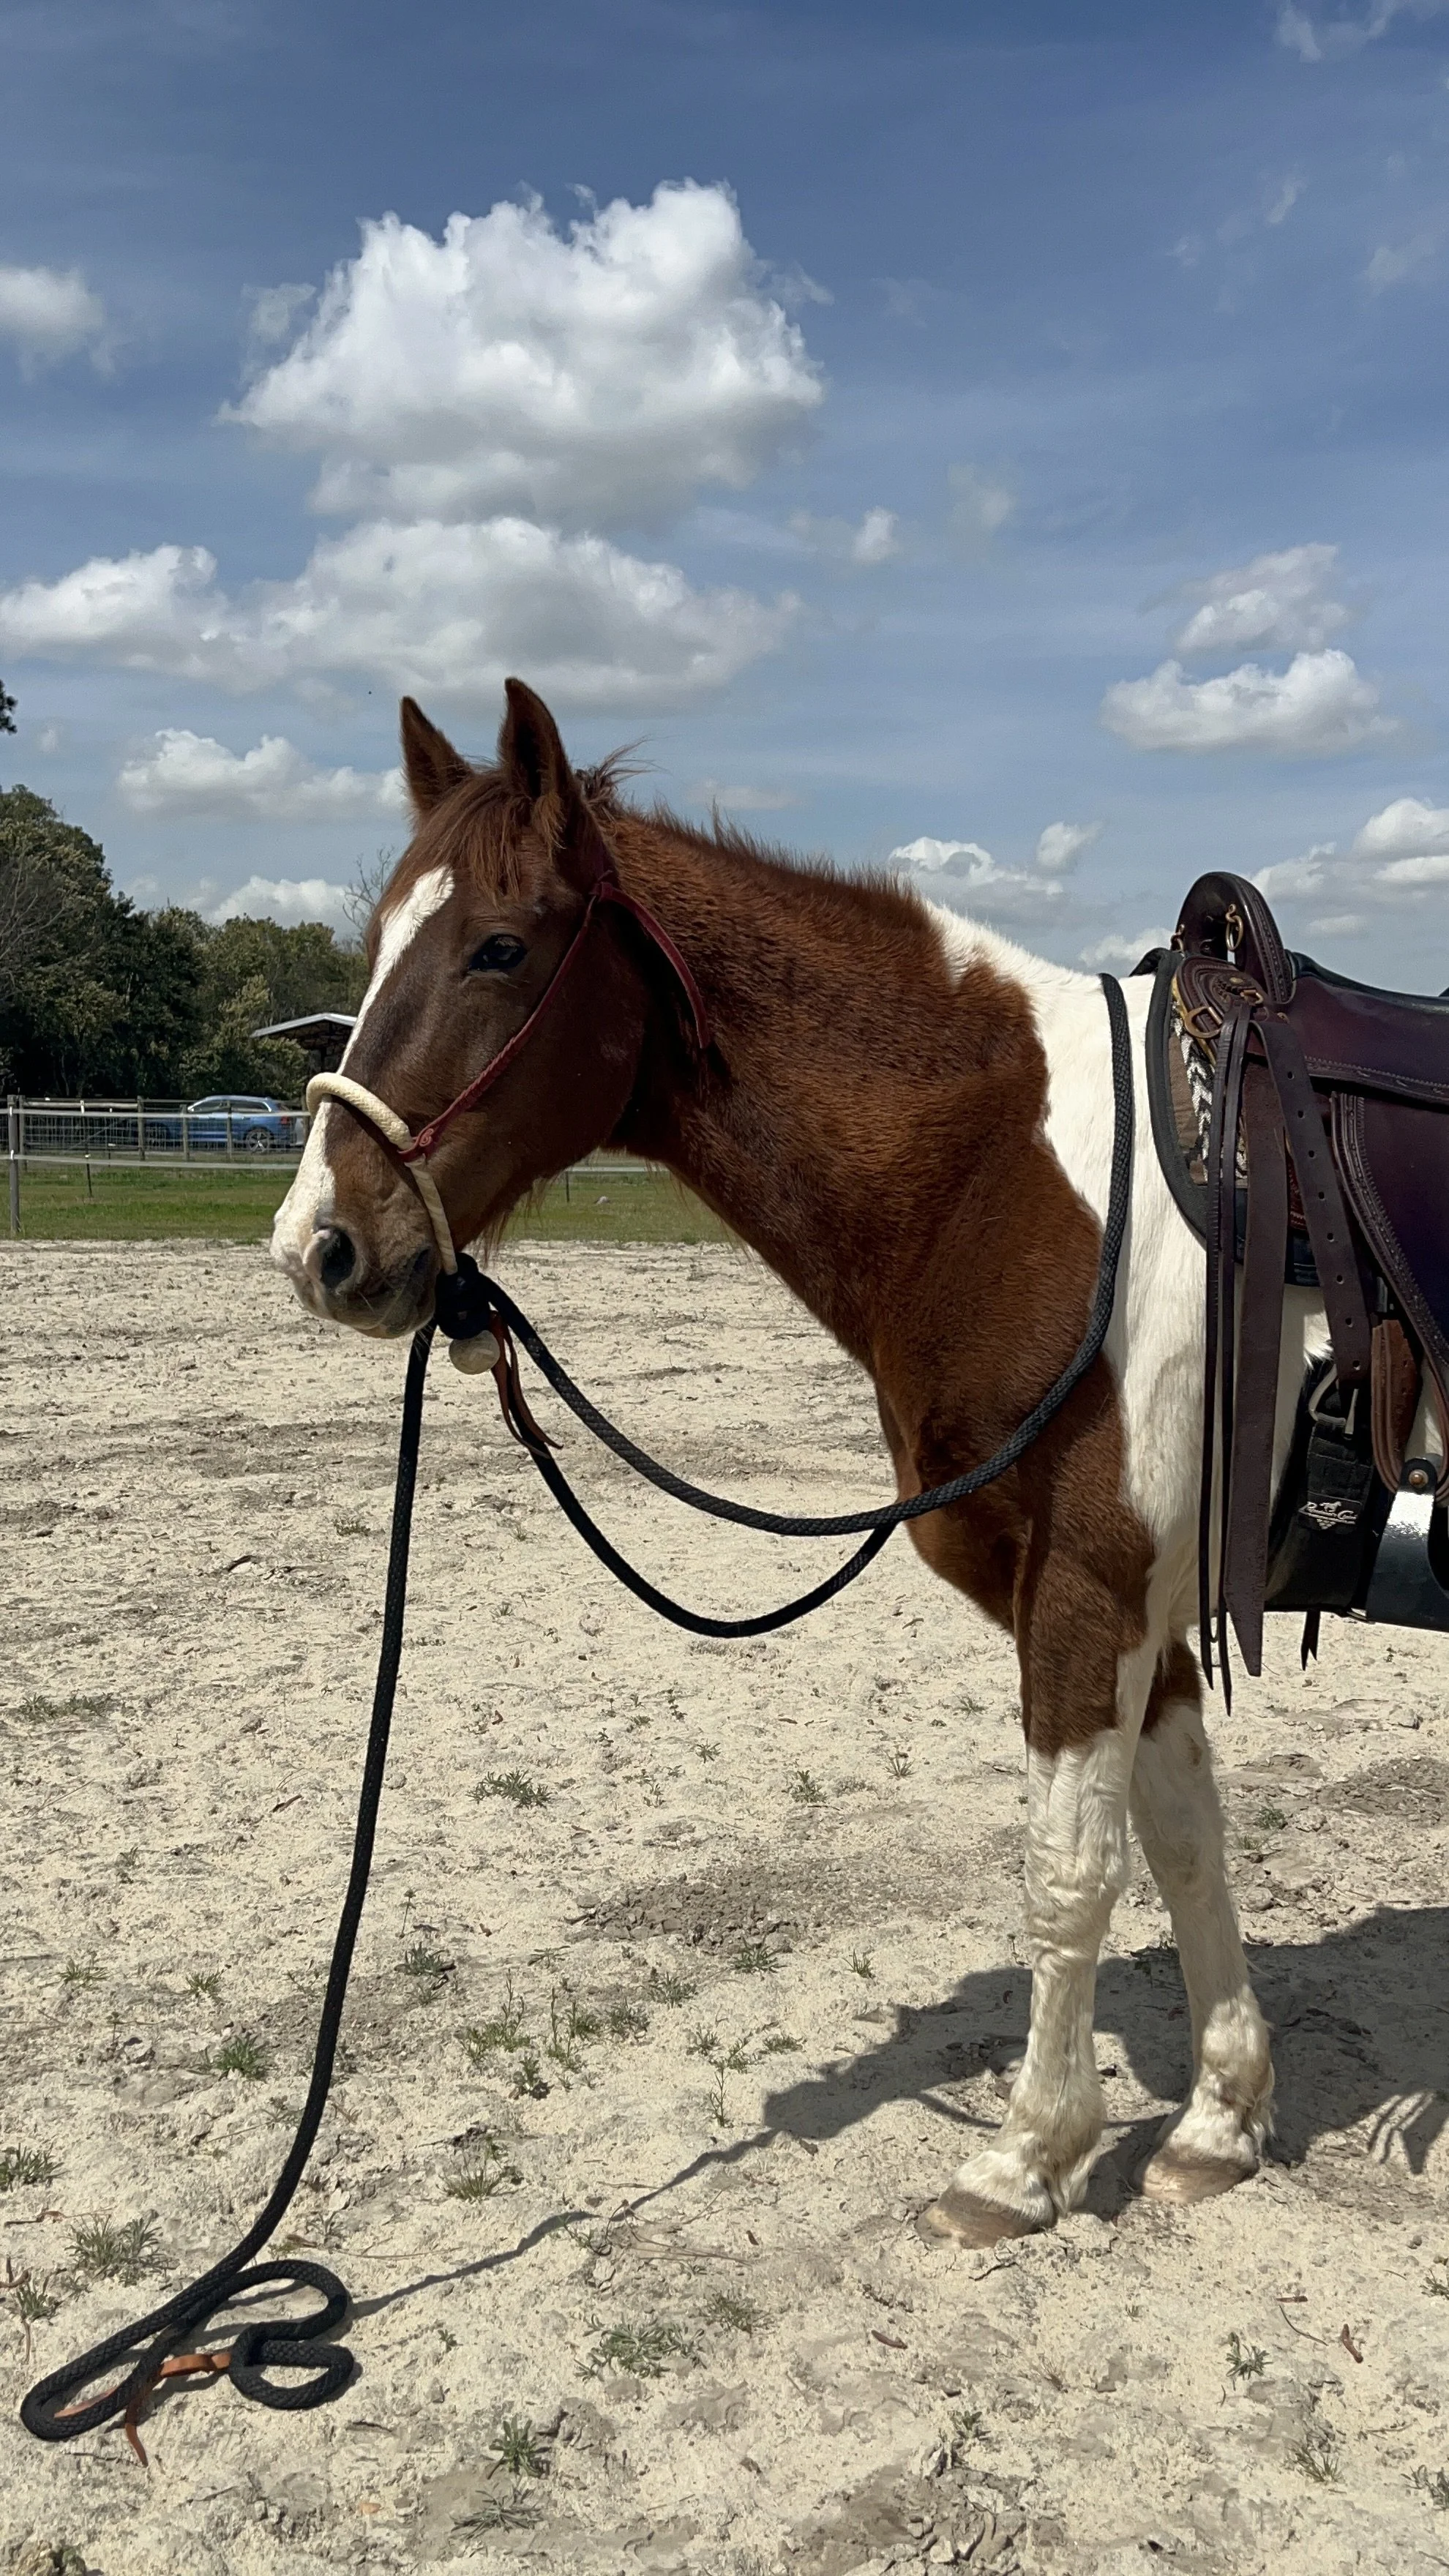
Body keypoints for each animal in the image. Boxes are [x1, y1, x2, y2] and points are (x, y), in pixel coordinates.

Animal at [271, 678, 1289, 2247]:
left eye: (500, 947)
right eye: (376, 945)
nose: (317, 1243)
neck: (1012, 1175)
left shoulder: (1089, 1589)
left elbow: (1072, 1871)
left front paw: (1025, 2157)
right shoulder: (1145, 1606)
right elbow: (1183, 1841)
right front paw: (1220, 2119)